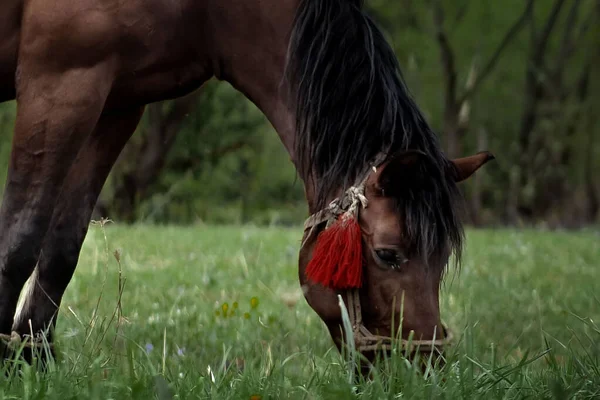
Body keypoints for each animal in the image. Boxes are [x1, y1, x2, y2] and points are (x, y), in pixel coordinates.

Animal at [0, 0, 492, 364]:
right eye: (388, 254)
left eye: (442, 258)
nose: (423, 364)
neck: (206, 11)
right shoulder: (60, 82)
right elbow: (19, 239)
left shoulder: (118, 100)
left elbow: (62, 249)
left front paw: (31, 361)